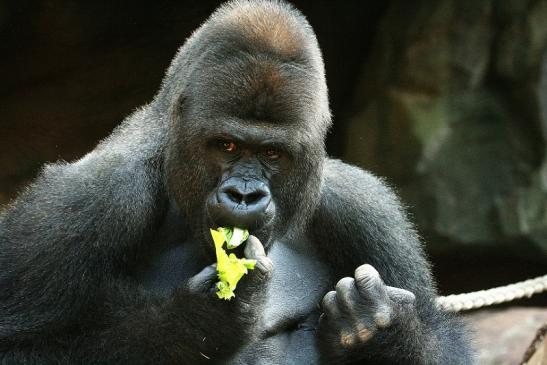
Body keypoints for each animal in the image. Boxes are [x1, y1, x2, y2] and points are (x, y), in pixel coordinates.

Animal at [0, 0, 474, 364]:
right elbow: (17, 344)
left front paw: (380, 326)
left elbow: (439, 338)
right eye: (226, 146)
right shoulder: (88, 200)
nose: (244, 195)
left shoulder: (367, 208)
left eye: (272, 154)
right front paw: (191, 325)